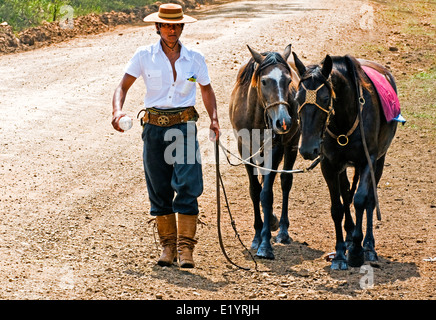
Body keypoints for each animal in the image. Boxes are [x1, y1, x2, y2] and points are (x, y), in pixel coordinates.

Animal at [228, 44, 300, 260]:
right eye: (265, 81)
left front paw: (265, 244)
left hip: (292, 144)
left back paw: (282, 230)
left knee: (285, 182)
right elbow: (255, 191)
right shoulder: (244, 149)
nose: (283, 121)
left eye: (288, 80)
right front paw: (257, 235)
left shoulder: (274, 150)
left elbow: (266, 194)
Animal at [292, 53, 398, 270]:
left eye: (325, 98)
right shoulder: (329, 165)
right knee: (346, 192)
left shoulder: (368, 160)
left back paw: (368, 246)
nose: (307, 149)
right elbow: (337, 207)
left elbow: (361, 200)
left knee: (369, 200)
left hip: (379, 161)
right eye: (297, 98)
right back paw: (349, 237)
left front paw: (357, 251)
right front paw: (341, 254)